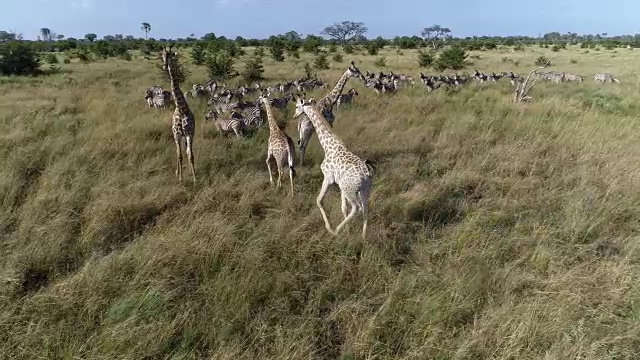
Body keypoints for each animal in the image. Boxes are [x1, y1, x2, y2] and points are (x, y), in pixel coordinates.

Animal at [160, 45, 195, 183]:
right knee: (177, 152)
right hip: (177, 136)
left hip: (186, 136)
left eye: (170, 55)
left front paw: (195, 178)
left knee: (186, 151)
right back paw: (177, 173)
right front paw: (180, 178)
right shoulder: (177, 134)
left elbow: (190, 155)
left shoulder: (189, 133)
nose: (165, 66)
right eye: (162, 55)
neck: (181, 109)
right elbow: (179, 155)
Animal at [294, 95, 378, 239]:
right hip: (364, 190)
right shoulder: (339, 184)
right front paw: (347, 231)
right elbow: (343, 207)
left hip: (350, 190)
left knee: (357, 208)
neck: (328, 144)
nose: (294, 116)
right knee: (365, 208)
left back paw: (337, 230)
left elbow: (319, 200)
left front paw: (330, 228)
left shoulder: (328, 177)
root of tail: (367, 173)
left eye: (297, 106)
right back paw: (363, 237)